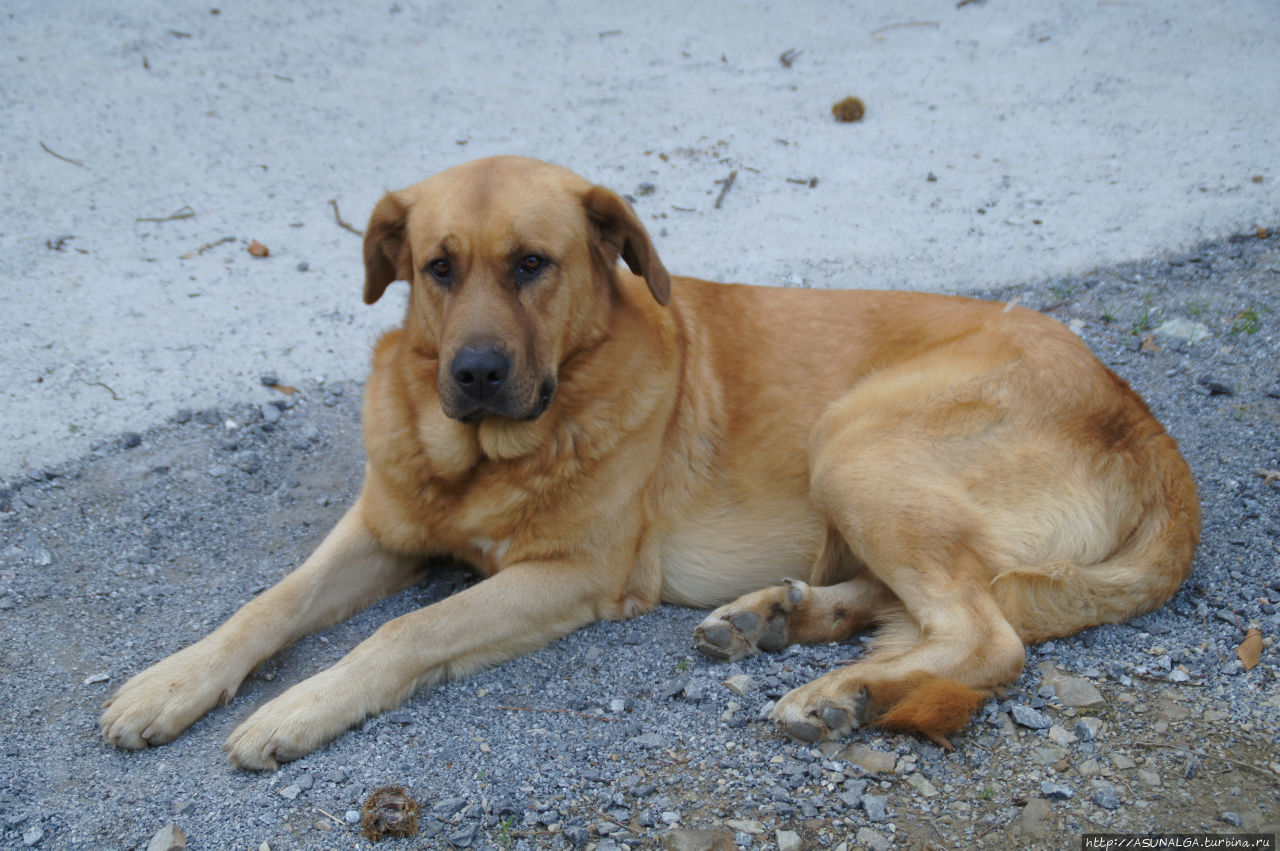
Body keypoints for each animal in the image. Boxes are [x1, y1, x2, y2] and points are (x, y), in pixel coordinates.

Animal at [99, 156, 1198, 767]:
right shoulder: (380, 528)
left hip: (857, 441)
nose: (474, 373)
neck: (484, 457)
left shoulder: (571, 576)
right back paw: (779, 618)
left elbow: (405, 631)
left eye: (532, 265)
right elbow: (269, 602)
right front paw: (171, 681)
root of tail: (1141, 418)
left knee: (984, 631)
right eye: (437, 268)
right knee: (925, 607)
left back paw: (838, 691)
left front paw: (298, 707)